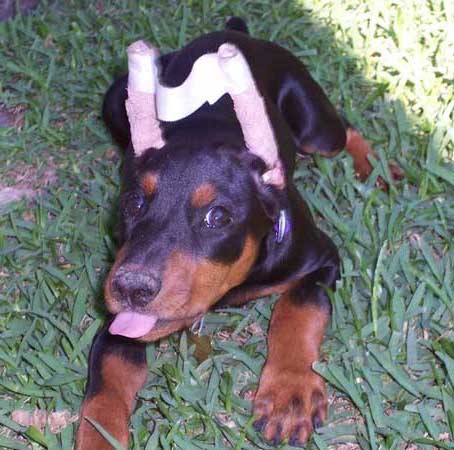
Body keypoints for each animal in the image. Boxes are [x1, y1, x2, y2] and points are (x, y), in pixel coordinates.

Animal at [76, 15, 402, 448]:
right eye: (133, 202)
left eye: (218, 216)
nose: (130, 288)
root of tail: (234, 31)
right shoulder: (119, 326)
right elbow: (105, 389)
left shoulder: (322, 258)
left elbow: (298, 307)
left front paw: (289, 395)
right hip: (115, 101)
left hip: (313, 123)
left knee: (341, 130)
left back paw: (378, 169)